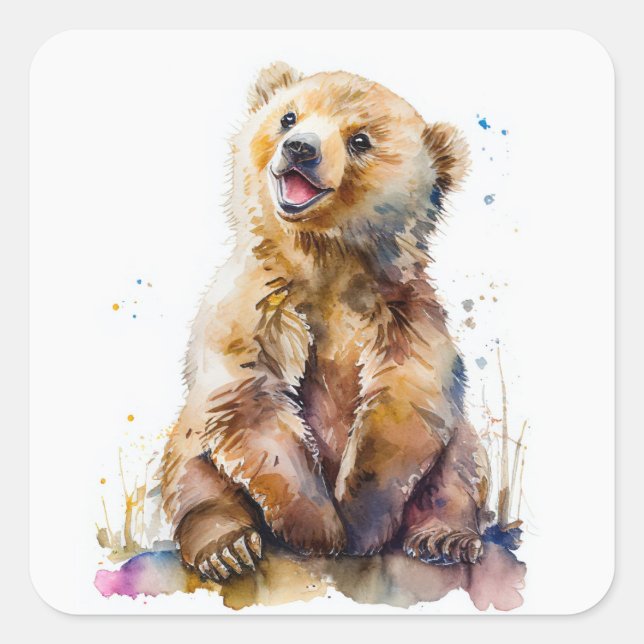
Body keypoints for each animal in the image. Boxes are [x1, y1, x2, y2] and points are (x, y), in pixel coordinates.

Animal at [160, 62, 490, 582]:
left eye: (360, 139)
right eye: (288, 117)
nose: (301, 148)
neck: (327, 261)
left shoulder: (403, 315)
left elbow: (403, 400)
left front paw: (359, 522)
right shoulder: (254, 306)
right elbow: (250, 398)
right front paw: (318, 528)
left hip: (460, 439)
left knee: (460, 463)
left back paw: (445, 535)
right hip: (189, 438)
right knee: (191, 474)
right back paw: (226, 546)